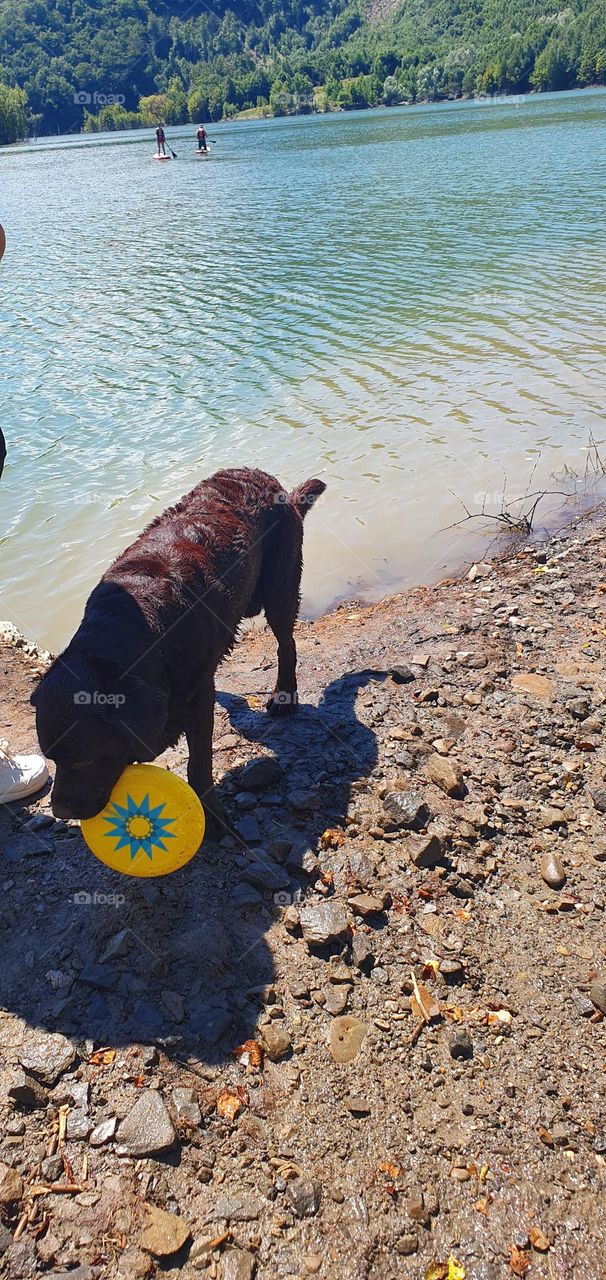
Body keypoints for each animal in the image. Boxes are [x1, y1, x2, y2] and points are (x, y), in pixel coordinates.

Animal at [31, 468, 325, 829]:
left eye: (83, 760)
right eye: (52, 759)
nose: (60, 812)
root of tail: (268, 479)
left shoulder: (196, 697)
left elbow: (198, 763)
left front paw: (212, 818)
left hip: (280, 586)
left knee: (286, 643)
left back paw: (284, 696)